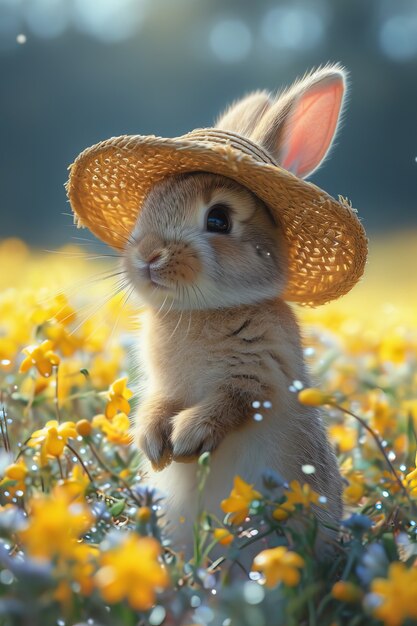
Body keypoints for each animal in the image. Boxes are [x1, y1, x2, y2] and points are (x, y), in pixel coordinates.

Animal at [122, 64, 344, 560]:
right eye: (149, 202)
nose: (147, 256)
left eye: (219, 219)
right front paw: (154, 445)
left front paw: (187, 438)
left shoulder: (258, 377)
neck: (203, 309)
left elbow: (230, 402)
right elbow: (156, 403)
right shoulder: (163, 385)